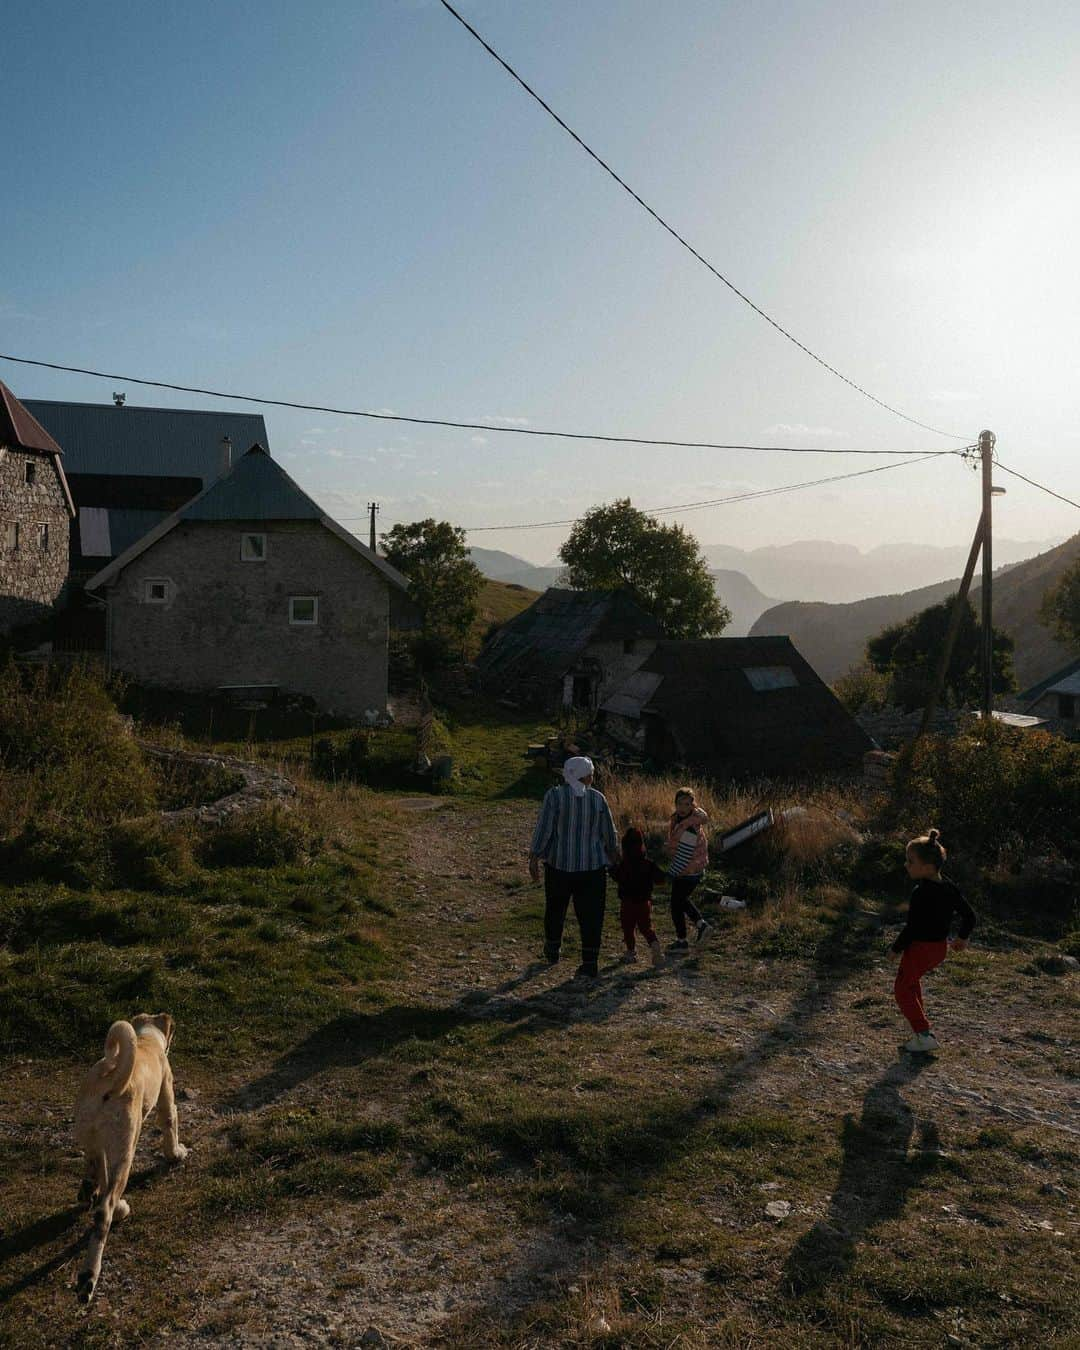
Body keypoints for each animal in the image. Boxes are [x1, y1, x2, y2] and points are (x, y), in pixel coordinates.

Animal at [72, 1009, 189, 1301]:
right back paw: (88, 1277)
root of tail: (108, 1078)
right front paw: (177, 1154)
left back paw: (103, 1200)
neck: (146, 1039)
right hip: (125, 1149)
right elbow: (170, 1123)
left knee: (97, 1182)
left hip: (96, 1144)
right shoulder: (166, 1091)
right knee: (104, 1210)